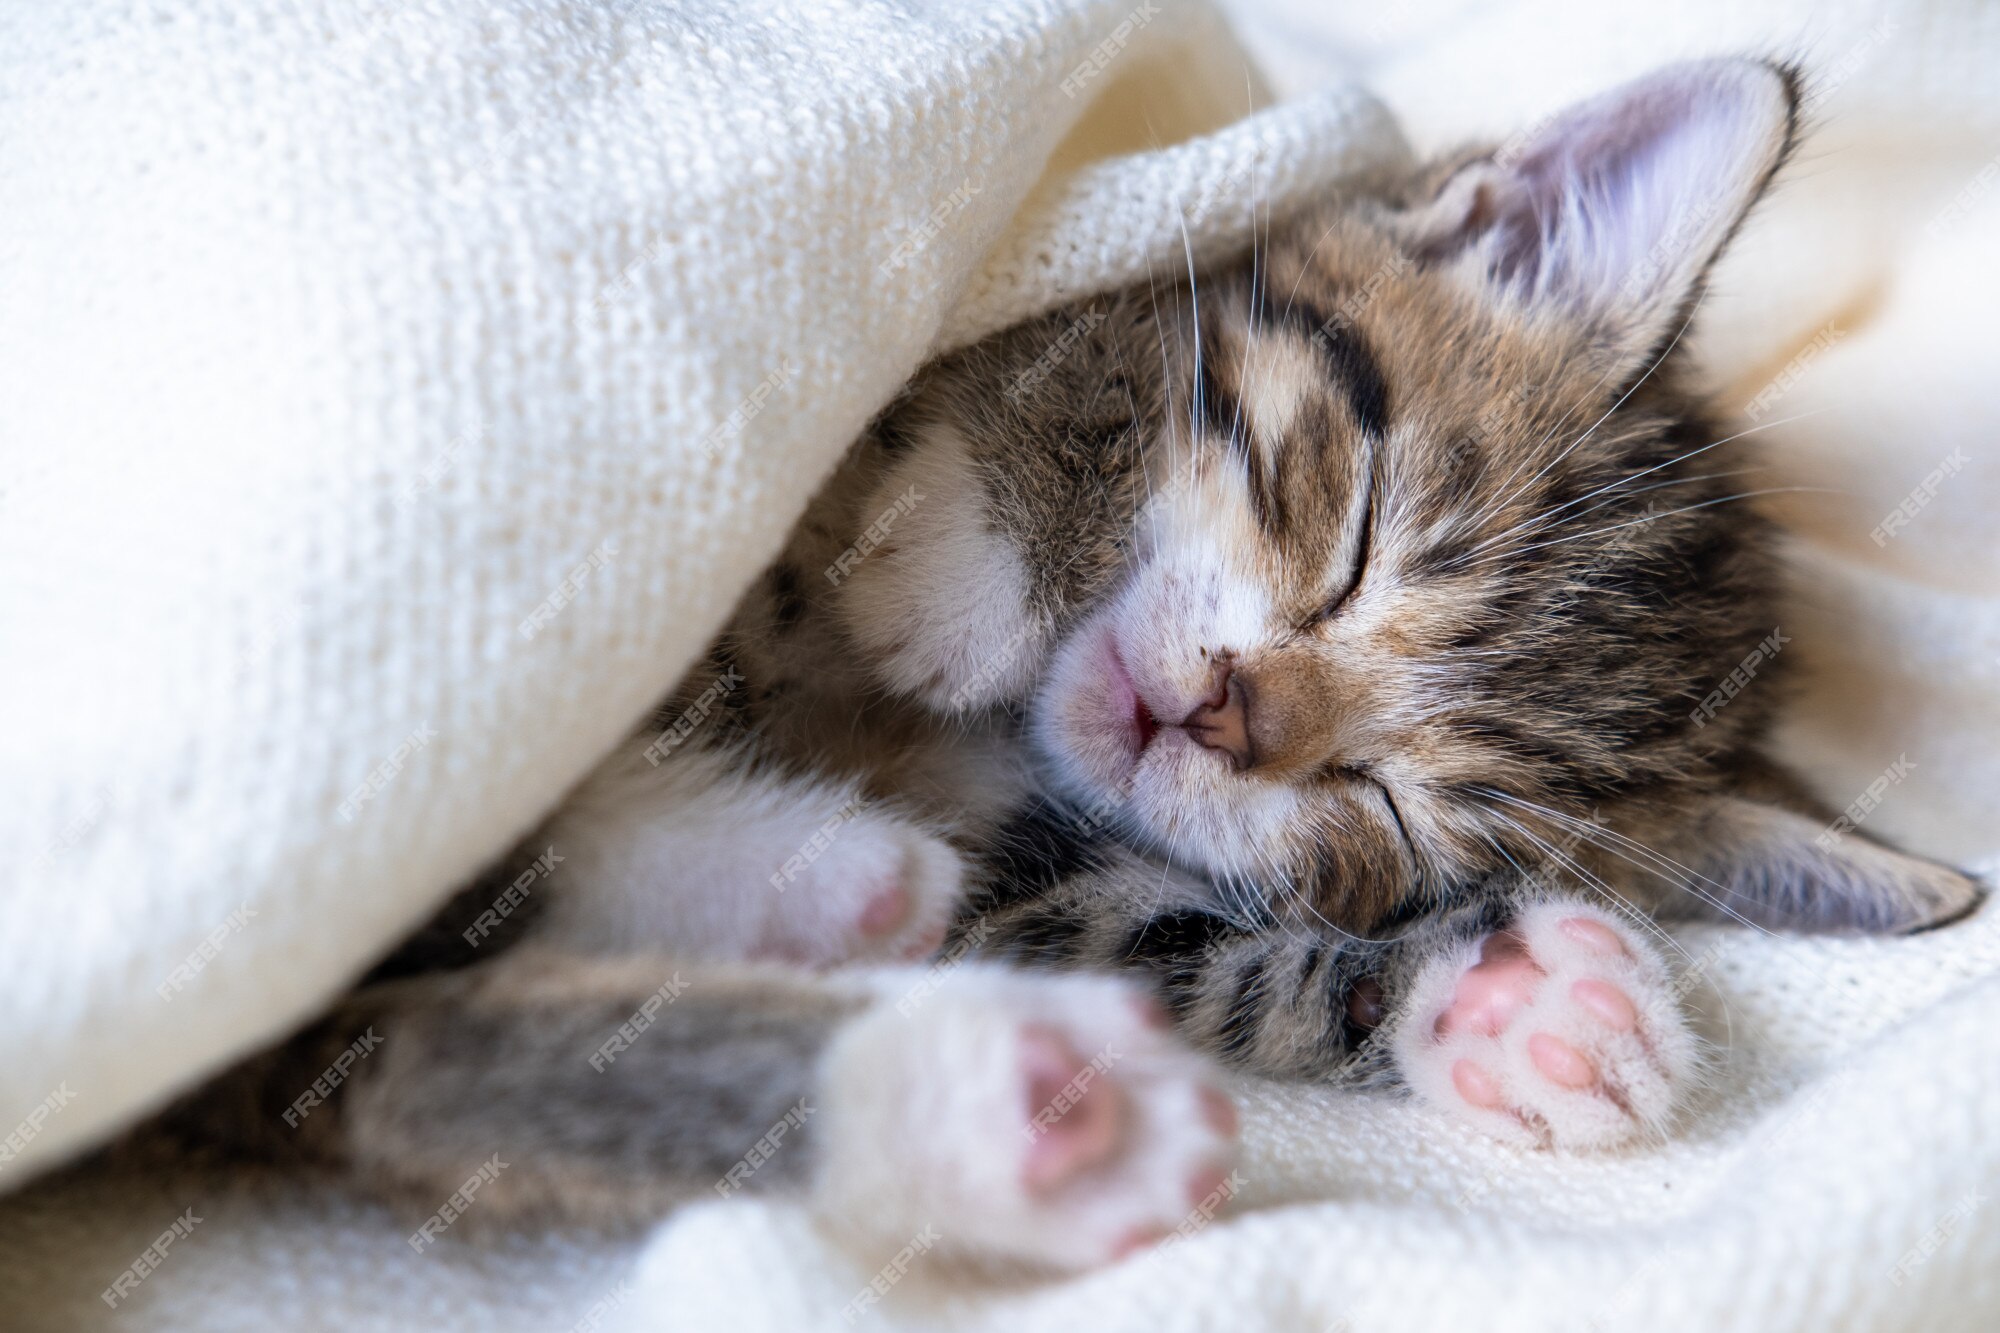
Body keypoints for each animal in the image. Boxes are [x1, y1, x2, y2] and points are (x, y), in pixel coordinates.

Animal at [164, 57, 1976, 1272]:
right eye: (1353, 536)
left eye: (1397, 813)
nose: (1215, 716)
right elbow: (1086, 335)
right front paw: (958, 574)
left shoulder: (1039, 855)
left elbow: (1143, 919)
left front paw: (1512, 998)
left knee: (431, 1013)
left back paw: (953, 1047)